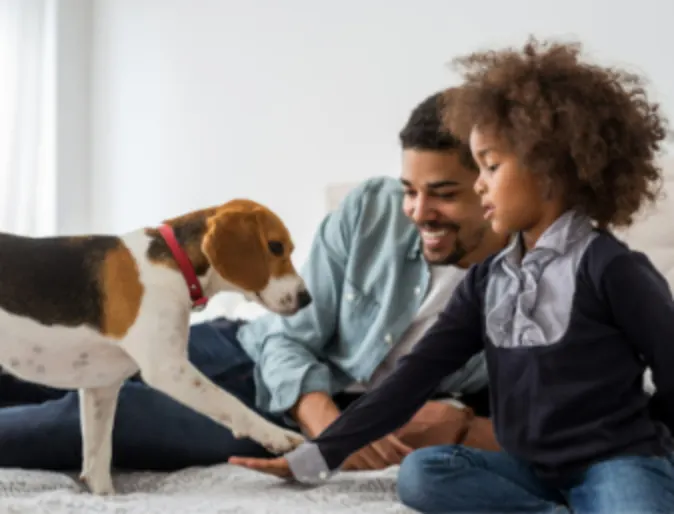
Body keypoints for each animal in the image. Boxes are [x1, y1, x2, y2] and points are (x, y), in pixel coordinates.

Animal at [0, 197, 312, 492]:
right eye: (275, 247)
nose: (306, 299)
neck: (177, 262)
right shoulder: (169, 369)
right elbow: (232, 403)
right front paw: (277, 435)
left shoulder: (101, 388)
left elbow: (98, 462)